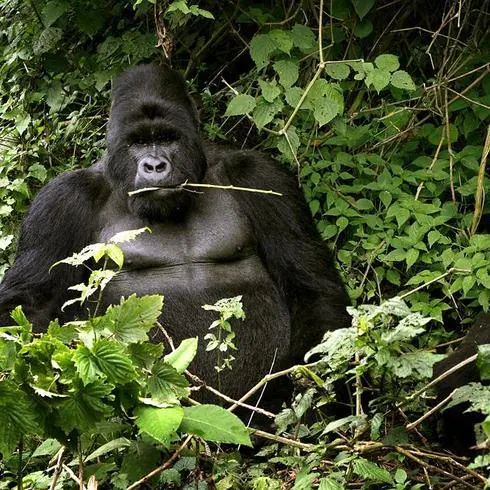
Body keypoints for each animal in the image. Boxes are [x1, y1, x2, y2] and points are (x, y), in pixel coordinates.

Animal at [0, 65, 352, 400]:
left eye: (168, 138)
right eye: (139, 142)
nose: (155, 166)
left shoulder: (263, 178)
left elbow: (310, 287)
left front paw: (314, 388)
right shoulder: (60, 202)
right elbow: (31, 304)